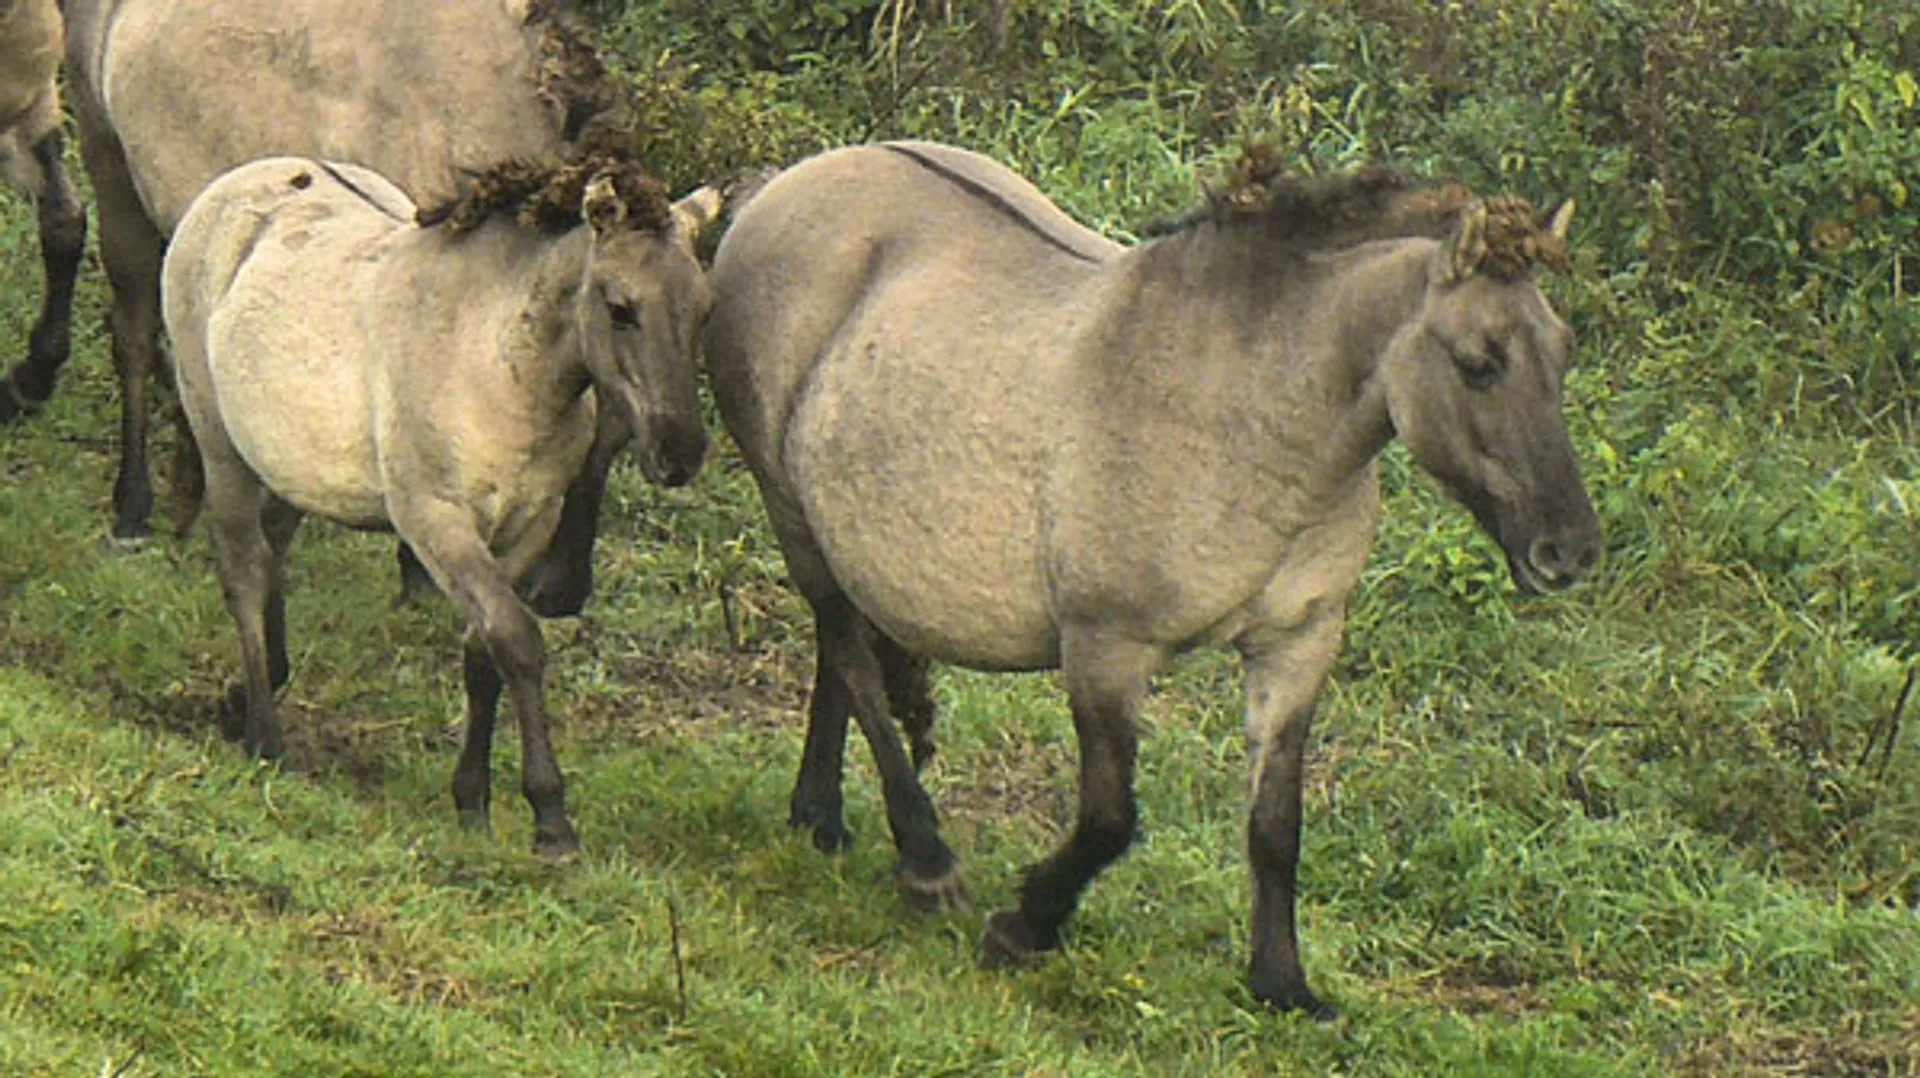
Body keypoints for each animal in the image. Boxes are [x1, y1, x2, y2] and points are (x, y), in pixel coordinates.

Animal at [161, 153, 719, 853]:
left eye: (704, 309)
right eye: (620, 308)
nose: (680, 453)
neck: (494, 356)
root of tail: (226, 190)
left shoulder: (527, 529)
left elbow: (484, 654)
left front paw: (473, 800)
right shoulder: (437, 522)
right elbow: (518, 640)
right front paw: (551, 818)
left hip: (289, 464)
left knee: (273, 550)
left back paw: (252, 693)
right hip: (222, 449)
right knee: (245, 573)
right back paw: (265, 733)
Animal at [702, 140, 1601, 1014]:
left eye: (1564, 351)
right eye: (1479, 363)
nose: (1570, 551)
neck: (1248, 413)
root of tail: (778, 189)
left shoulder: (1298, 645)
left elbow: (1275, 824)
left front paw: (1283, 984)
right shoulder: (1106, 648)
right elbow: (1110, 818)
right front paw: (1026, 923)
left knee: (840, 657)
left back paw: (820, 817)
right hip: (790, 511)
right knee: (851, 659)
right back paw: (925, 861)